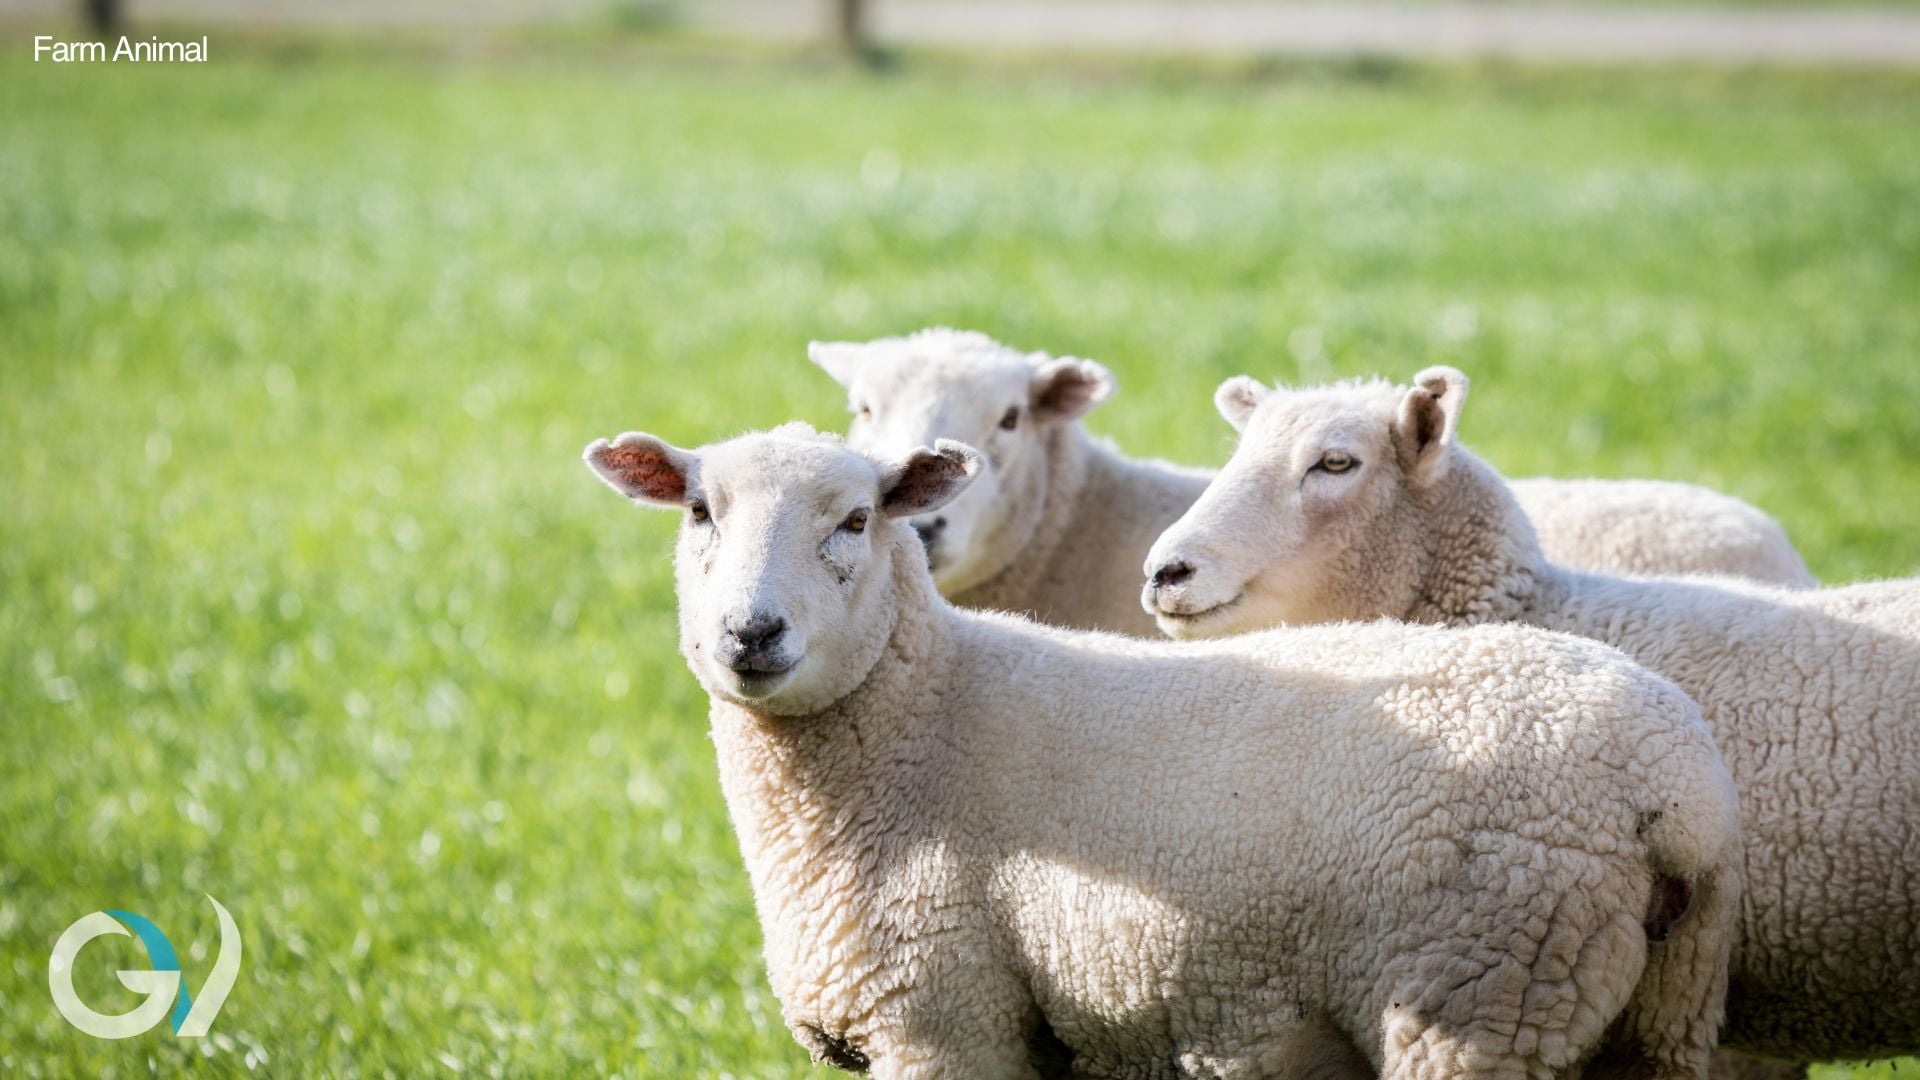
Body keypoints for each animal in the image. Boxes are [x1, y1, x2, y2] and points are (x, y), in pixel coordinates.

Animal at [584, 420, 1743, 1079]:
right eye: (699, 511)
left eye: (859, 519)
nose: (752, 633)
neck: (928, 713)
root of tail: (1677, 785)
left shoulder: (946, 1021)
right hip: (1656, 1018)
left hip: (1479, 997)